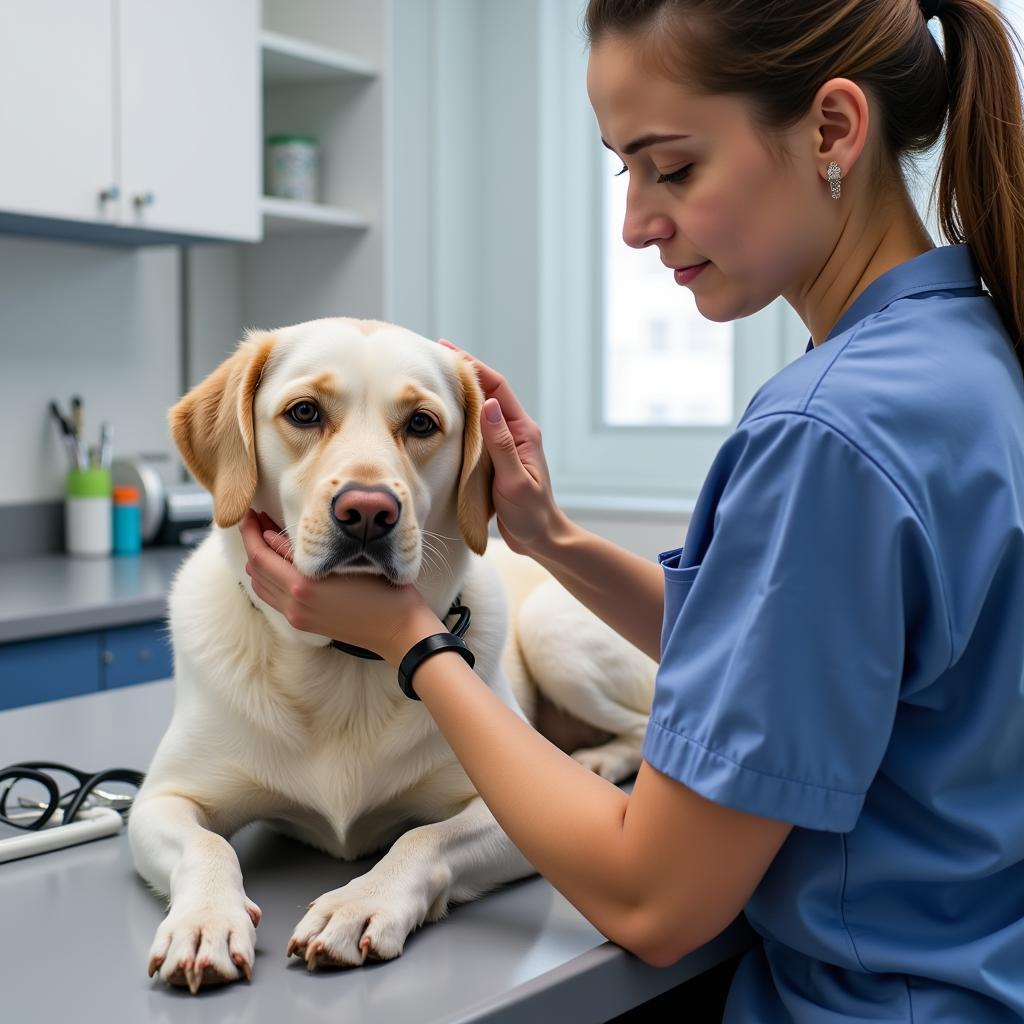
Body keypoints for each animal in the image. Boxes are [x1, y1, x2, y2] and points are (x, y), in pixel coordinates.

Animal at [128, 317, 655, 991]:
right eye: (304, 412)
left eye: (422, 424)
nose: (367, 512)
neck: (345, 662)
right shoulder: (161, 800)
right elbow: (207, 845)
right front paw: (205, 922)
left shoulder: (524, 814)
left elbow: (423, 839)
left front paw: (360, 903)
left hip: (553, 633)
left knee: (643, 728)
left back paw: (597, 763)